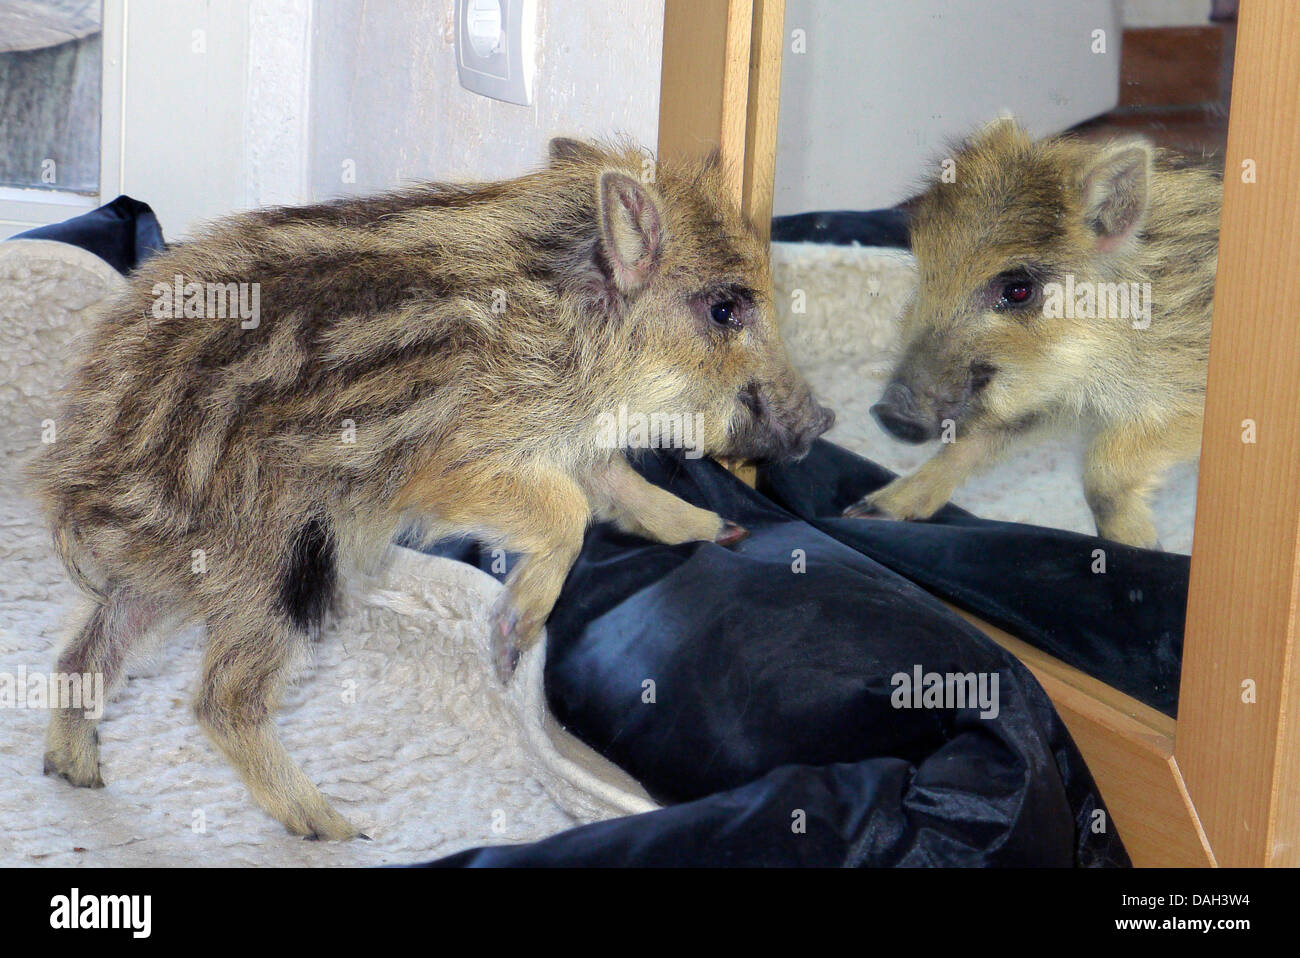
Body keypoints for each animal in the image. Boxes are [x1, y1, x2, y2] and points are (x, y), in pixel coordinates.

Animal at [30, 137, 834, 839]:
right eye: (725, 308)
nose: (819, 421)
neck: (577, 332)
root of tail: (75, 480)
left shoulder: (574, 444)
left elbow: (620, 486)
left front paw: (722, 530)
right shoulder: (454, 461)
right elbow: (569, 514)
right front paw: (510, 647)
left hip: (172, 574)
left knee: (85, 653)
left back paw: (76, 773)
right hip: (271, 564)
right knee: (221, 700)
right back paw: (336, 826)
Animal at [844, 119, 1220, 548]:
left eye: (1018, 290)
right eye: (926, 275)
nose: (889, 414)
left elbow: (1101, 473)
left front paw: (1144, 548)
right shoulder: (1047, 398)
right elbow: (969, 445)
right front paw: (864, 511)